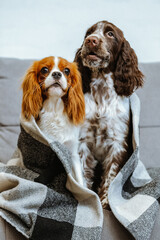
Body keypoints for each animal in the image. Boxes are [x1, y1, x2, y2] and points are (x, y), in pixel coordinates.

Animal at [21, 56, 85, 186]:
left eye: (66, 71)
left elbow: (79, 180)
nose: (56, 74)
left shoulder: (72, 152)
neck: (54, 108)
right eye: (44, 69)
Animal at [74, 21, 144, 208]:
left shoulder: (118, 143)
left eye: (110, 34)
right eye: (88, 33)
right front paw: (88, 199)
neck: (101, 89)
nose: (91, 40)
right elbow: (84, 173)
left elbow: (111, 177)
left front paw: (105, 203)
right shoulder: (83, 141)